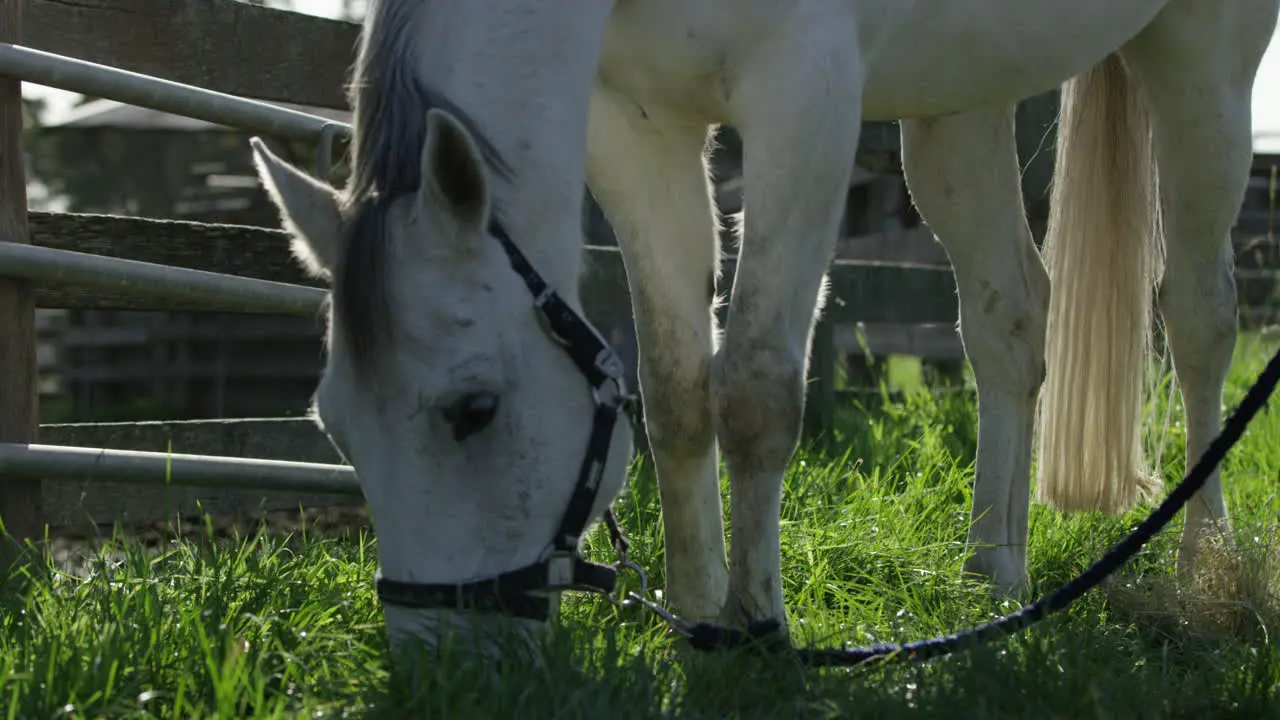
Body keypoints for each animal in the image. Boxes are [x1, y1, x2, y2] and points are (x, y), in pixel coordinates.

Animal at [249, 0, 1280, 650]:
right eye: (335, 428)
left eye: (474, 410)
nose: (441, 667)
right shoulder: (637, 128)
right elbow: (675, 393)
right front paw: (697, 609)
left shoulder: (804, 96)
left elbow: (750, 388)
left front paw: (758, 627)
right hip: (965, 94)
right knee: (1010, 321)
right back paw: (993, 578)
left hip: (1203, 58)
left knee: (1198, 318)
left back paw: (1207, 567)